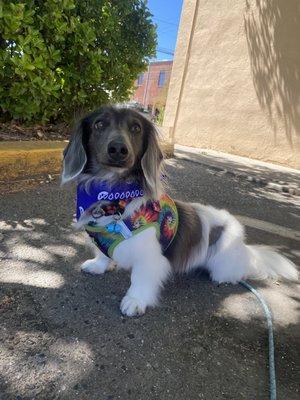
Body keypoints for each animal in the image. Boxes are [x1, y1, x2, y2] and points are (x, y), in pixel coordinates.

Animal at [61, 105, 298, 316]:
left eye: (136, 128)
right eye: (99, 124)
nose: (118, 149)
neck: (113, 197)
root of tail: (244, 247)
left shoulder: (150, 258)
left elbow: (140, 278)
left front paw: (135, 300)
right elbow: (102, 253)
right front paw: (99, 265)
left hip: (225, 263)